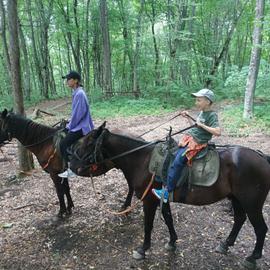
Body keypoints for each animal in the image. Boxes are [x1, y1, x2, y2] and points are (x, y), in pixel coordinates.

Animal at [0, 109, 135, 217]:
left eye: (0, 123)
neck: (46, 144)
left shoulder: (54, 173)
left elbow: (60, 192)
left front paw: (61, 212)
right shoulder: (61, 173)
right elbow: (66, 189)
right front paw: (69, 208)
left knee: (131, 186)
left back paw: (125, 207)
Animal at [70, 123, 270, 268]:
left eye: (88, 143)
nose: (72, 165)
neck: (141, 160)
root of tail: (262, 157)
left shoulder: (149, 200)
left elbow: (148, 225)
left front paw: (143, 249)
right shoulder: (162, 197)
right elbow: (168, 218)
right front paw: (172, 242)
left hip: (252, 203)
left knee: (261, 229)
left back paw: (252, 257)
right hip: (237, 199)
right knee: (239, 219)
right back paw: (226, 244)